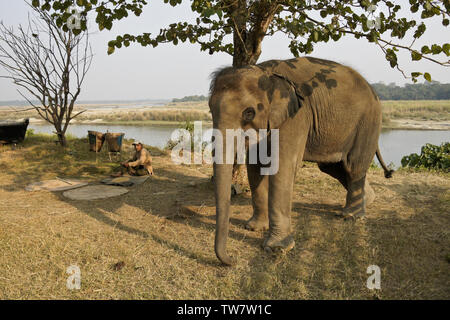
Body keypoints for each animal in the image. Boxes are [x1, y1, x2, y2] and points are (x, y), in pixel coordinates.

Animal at [208, 57, 394, 264]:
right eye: (210, 110)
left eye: (249, 112)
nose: (232, 260)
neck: (265, 71)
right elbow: (255, 165)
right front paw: (254, 227)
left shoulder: (296, 117)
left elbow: (282, 166)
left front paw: (277, 248)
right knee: (333, 167)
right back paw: (367, 200)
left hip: (368, 121)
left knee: (353, 166)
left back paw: (350, 216)